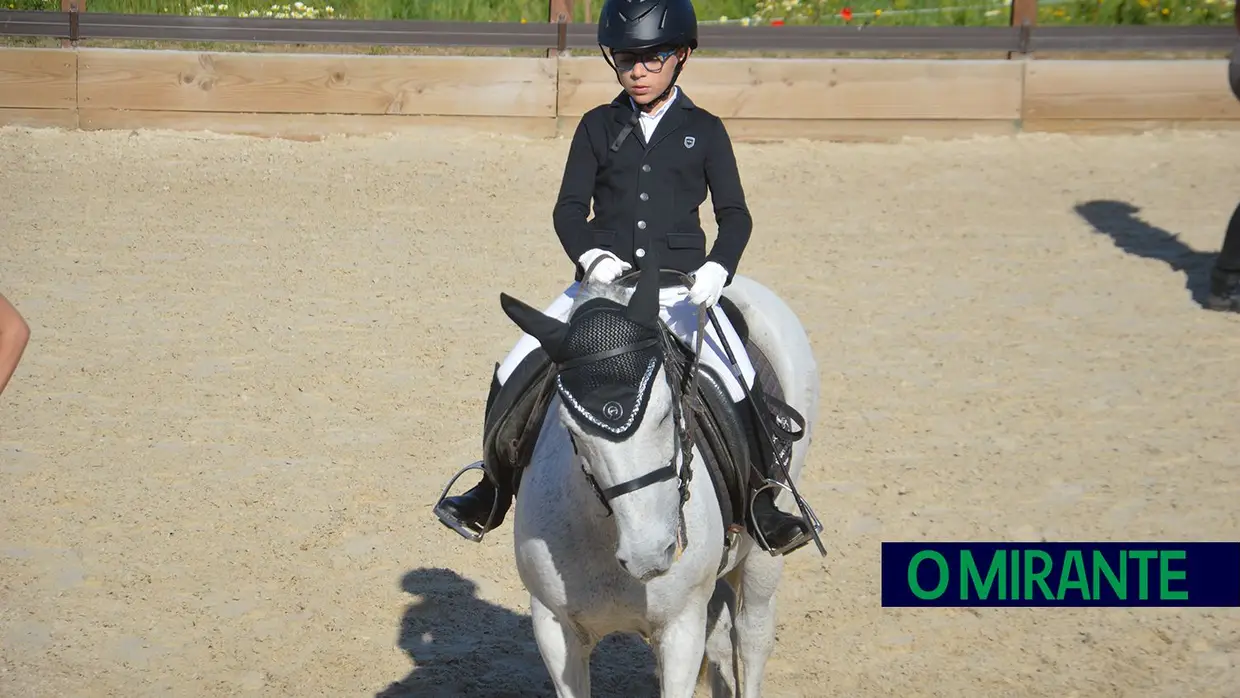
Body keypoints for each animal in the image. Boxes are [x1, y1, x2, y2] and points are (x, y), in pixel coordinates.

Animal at [493, 264, 823, 698]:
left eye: (667, 412)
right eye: (571, 428)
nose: (648, 555)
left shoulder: (681, 629)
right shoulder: (553, 627)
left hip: (763, 554)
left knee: (752, 636)